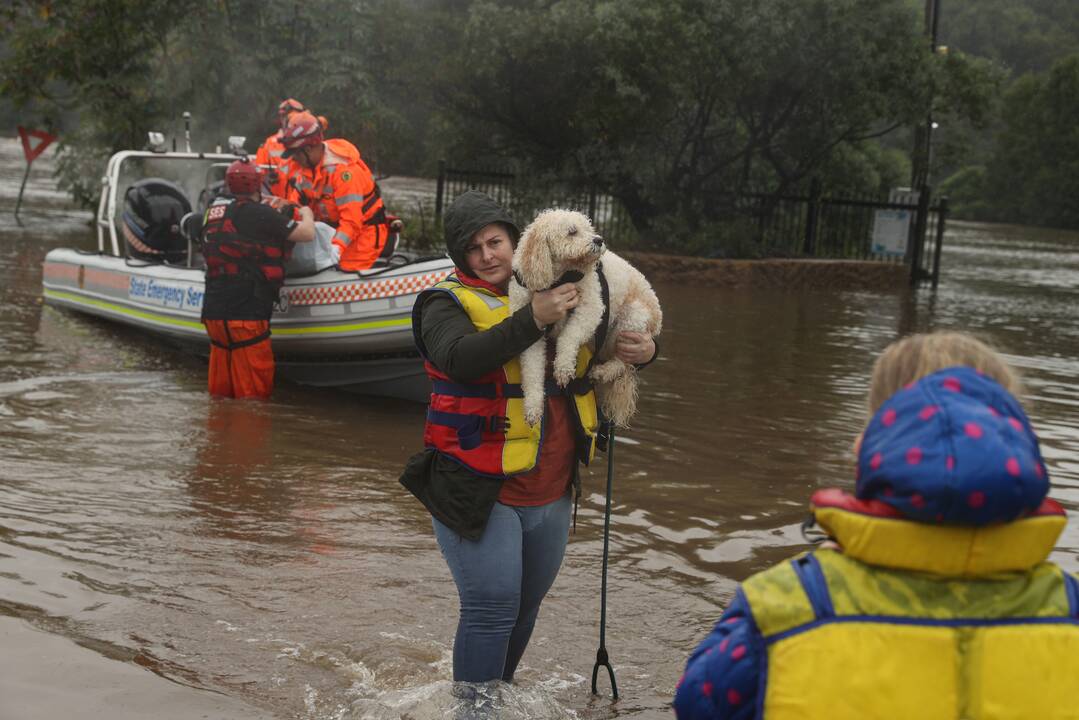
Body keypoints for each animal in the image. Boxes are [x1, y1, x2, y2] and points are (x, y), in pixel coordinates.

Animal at [507, 208, 664, 427]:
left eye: (589, 228)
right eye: (572, 231)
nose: (599, 240)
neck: (558, 280)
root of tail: (657, 319)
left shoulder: (592, 308)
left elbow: (568, 336)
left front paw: (563, 368)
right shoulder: (532, 330)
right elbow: (531, 370)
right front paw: (533, 408)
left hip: (631, 320)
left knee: (624, 362)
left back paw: (603, 371)